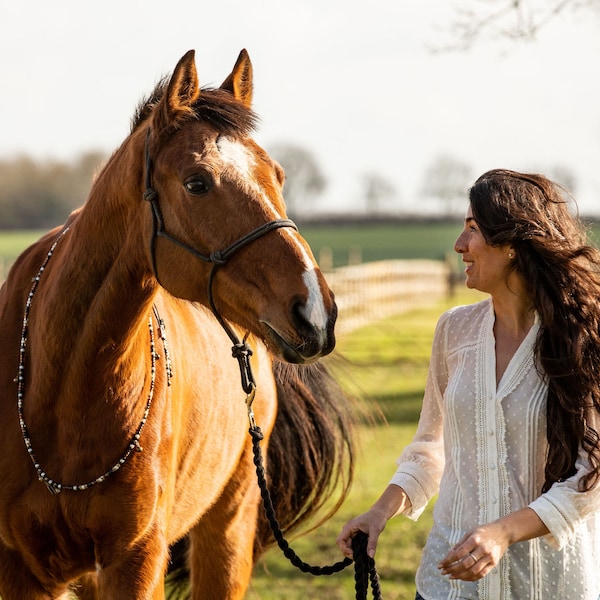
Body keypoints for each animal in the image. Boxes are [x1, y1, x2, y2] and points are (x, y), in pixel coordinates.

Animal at [0, 50, 354, 600]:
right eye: (196, 183)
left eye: (277, 175)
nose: (315, 312)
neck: (61, 390)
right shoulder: (22, 569)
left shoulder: (136, 558)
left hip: (227, 535)